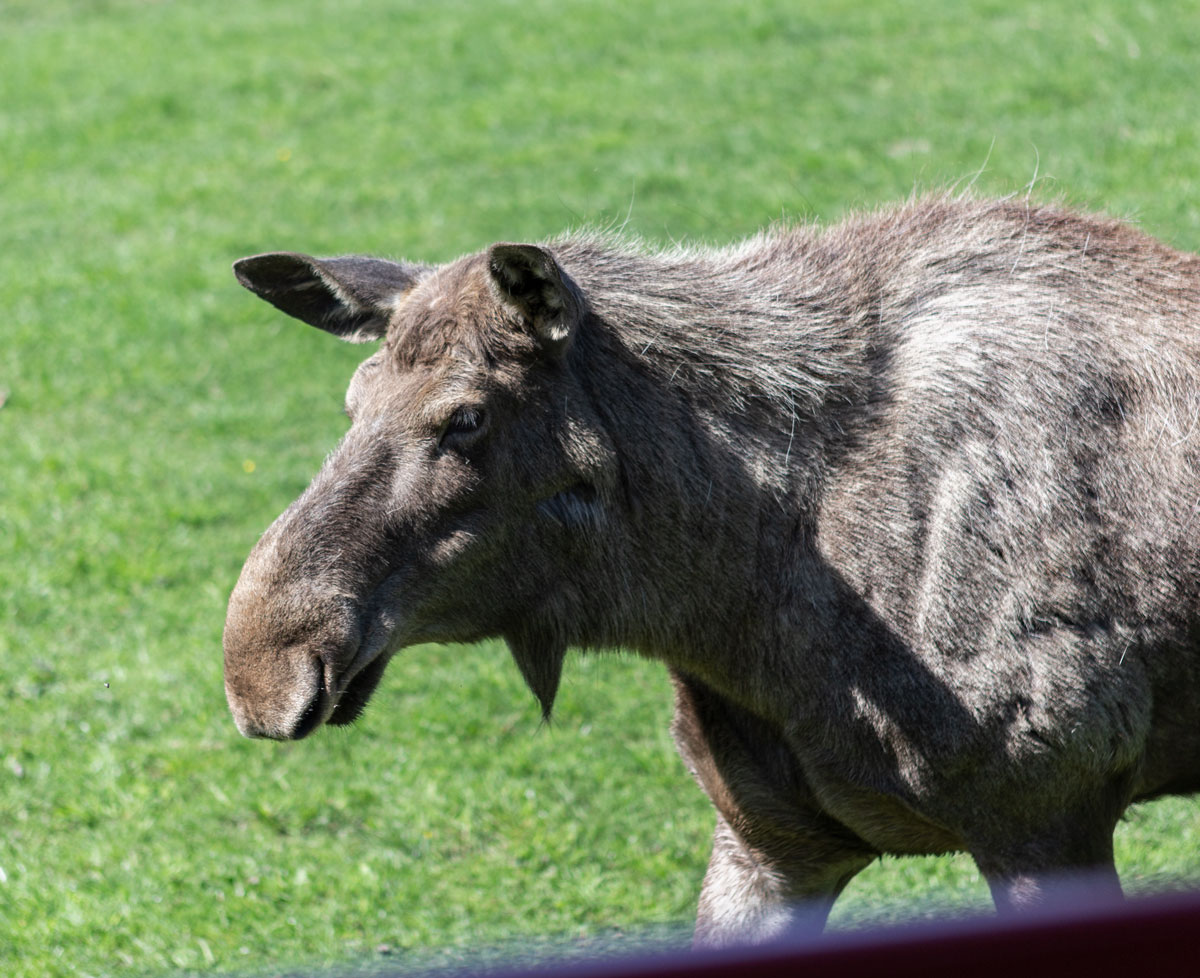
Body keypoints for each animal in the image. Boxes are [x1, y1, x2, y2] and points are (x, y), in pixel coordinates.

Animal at [220, 195, 1200, 945]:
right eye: (353, 399)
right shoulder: (769, 840)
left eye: (466, 416)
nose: (264, 664)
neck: (737, 598)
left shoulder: (1046, 812)